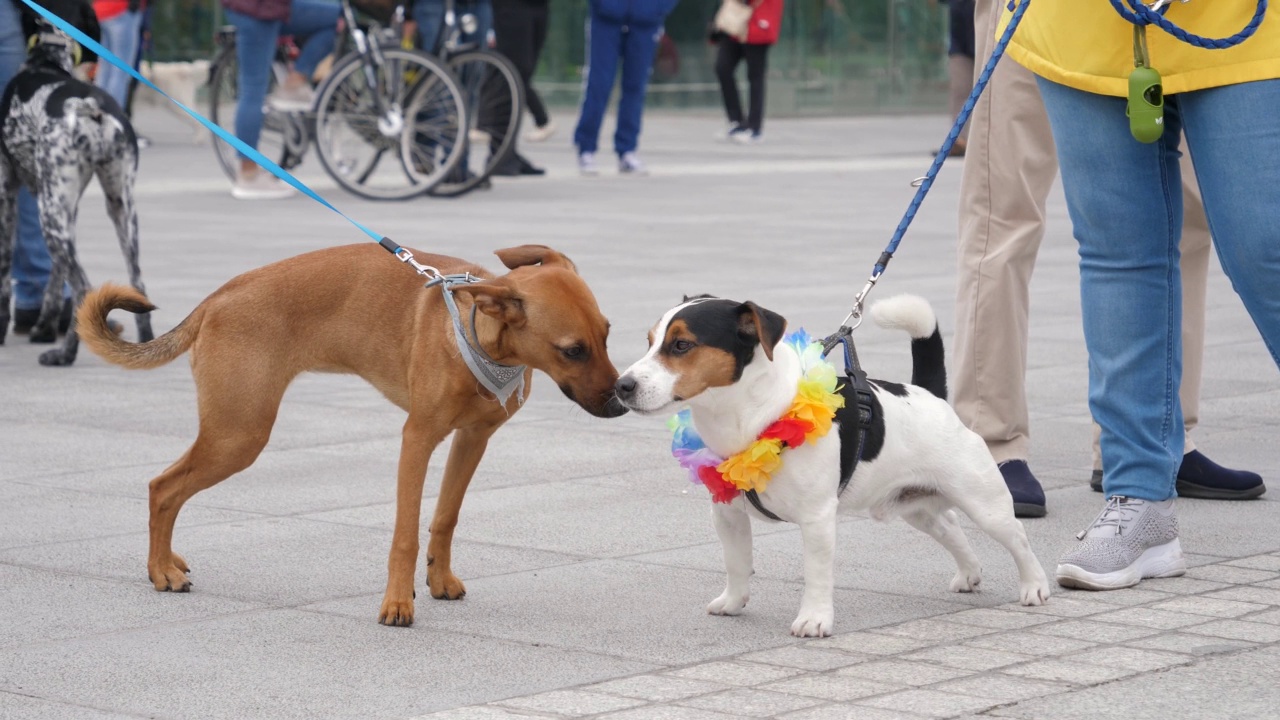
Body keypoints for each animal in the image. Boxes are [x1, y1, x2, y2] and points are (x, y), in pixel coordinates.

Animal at [0, 23, 151, 363]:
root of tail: (89, 106)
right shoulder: (68, 207)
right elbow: (55, 280)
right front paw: (43, 328)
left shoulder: (7, 195)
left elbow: (4, 277)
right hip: (118, 208)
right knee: (137, 282)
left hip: (50, 218)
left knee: (84, 289)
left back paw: (65, 354)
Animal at [74, 242, 624, 622]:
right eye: (572, 350)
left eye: (607, 334)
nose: (621, 401)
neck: (477, 341)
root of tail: (216, 297)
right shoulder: (417, 440)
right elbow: (405, 534)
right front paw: (398, 603)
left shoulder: (471, 440)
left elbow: (444, 518)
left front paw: (439, 578)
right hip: (239, 433)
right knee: (163, 487)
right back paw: (159, 571)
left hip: (233, 433)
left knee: (168, 488)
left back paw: (168, 560)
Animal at [616, 292, 1049, 632]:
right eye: (650, 342)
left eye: (681, 345)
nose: (622, 386)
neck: (750, 416)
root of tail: (929, 395)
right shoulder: (728, 514)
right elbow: (737, 563)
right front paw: (734, 601)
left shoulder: (817, 518)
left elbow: (817, 574)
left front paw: (814, 620)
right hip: (915, 507)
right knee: (951, 526)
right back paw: (969, 572)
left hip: (983, 501)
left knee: (1019, 539)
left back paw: (1035, 586)